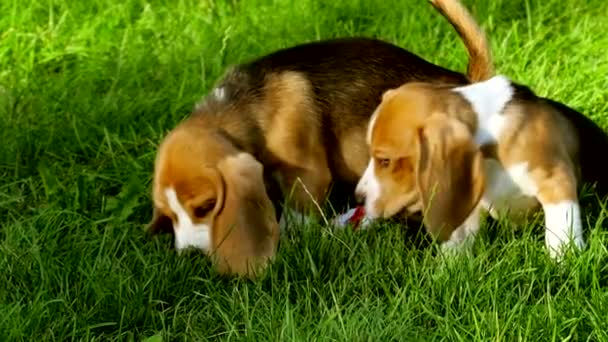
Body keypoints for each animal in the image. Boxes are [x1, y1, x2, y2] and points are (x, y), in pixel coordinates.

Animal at [148, 0, 494, 276]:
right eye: (168, 214)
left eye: (206, 207)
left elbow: (297, 216)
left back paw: (447, 263)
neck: (240, 109)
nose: (189, 256)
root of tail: (466, 84)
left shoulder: (306, 173)